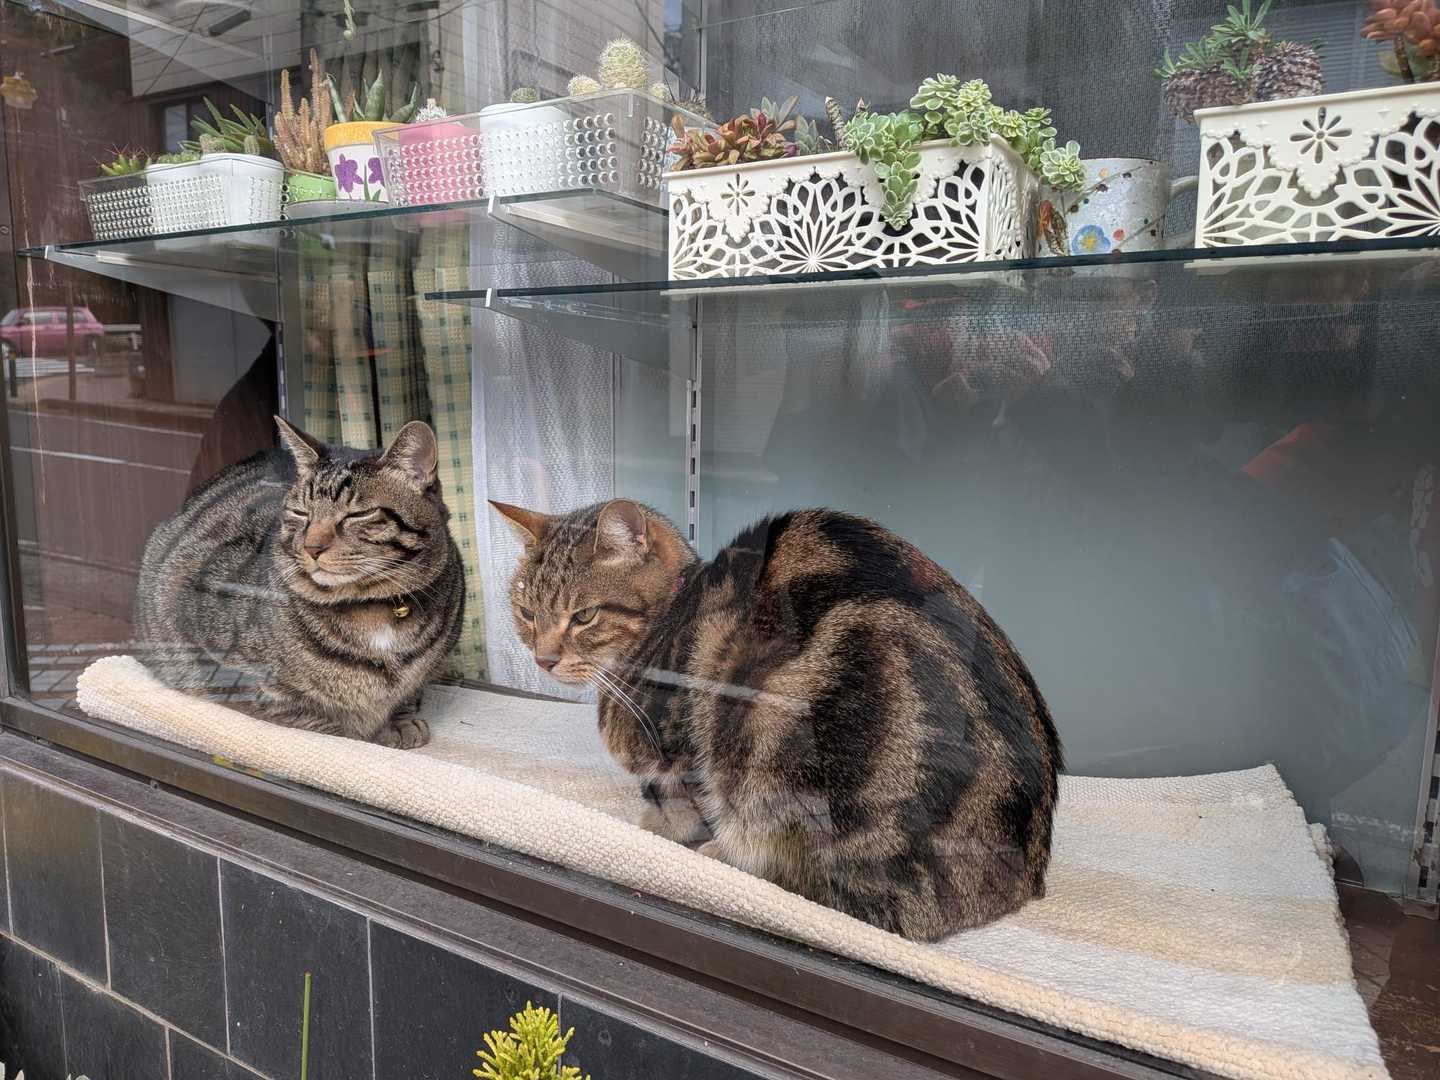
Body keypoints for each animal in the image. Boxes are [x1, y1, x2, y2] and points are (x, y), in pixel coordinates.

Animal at [135, 417, 464, 748]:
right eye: (300, 512)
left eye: (358, 514)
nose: (312, 547)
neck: (372, 606)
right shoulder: (230, 668)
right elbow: (304, 717)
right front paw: (353, 735)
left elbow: (407, 693)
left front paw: (399, 722)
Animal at [491, 499, 1061, 941]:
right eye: (527, 613)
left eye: (583, 616)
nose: (543, 658)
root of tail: (1026, 876)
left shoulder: (685, 754)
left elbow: (682, 805)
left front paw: (670, 832)